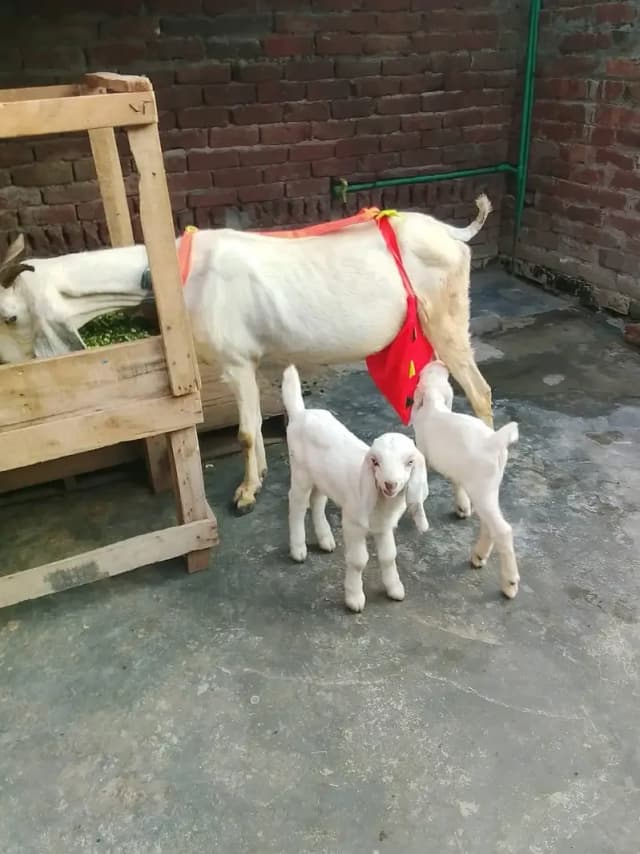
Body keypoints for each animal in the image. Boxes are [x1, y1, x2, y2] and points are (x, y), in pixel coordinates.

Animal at [0, 197, 493, 513]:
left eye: (8, 315)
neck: (177, 277)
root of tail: (450, 232)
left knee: (481, 391)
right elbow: (254, 425)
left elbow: (243, 433)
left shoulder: (234, 361)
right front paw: (259, 479)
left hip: (446, 317)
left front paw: (244, 494)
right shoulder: (250, 362)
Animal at [283, 365, 428, 613]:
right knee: (297, 504)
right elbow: (359, 561)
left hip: (322, 478)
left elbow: (389, 556)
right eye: (375, 462)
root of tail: (300, 413)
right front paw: (354, 598)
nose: (390, 484)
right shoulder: (353, 523)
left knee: (317, 502)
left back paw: (325, 539)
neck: (382, 504)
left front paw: (394, 589)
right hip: (300, 471)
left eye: (410, 462)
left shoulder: (384, 526)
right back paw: (298, 549)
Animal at [411, 360, 520, 599]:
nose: (438, 361)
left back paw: (509, 584)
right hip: (489, 489)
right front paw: (462, 506)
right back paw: (479, 556)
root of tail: (495, 442)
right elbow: (455, 479)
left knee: (502, 530)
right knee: (489, 524)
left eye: (421, 375)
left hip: (482, 488)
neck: (434, 405)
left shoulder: (422, 448)